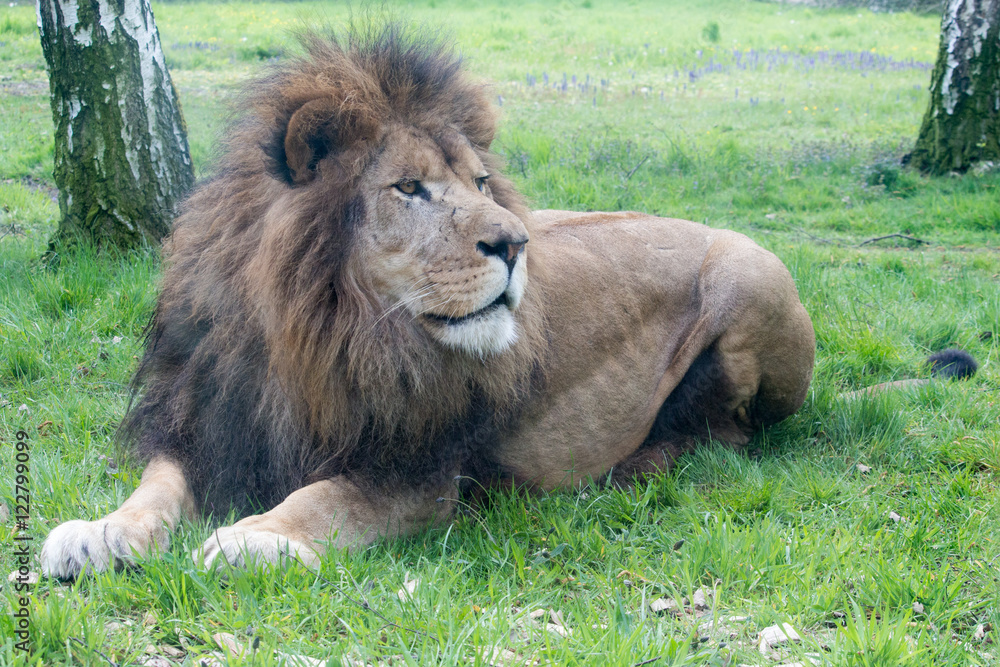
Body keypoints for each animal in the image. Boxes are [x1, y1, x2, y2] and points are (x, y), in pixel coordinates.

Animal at [40, 26, 815, 579]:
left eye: (480, 183)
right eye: (409, 188)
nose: (516, 242)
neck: (318, 336)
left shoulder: (421, 471)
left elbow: (327, 496)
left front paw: (254, 538)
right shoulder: (207, 420)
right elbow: (156, 485)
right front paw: (99, 531)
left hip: (753, 274)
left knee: (727, 432)